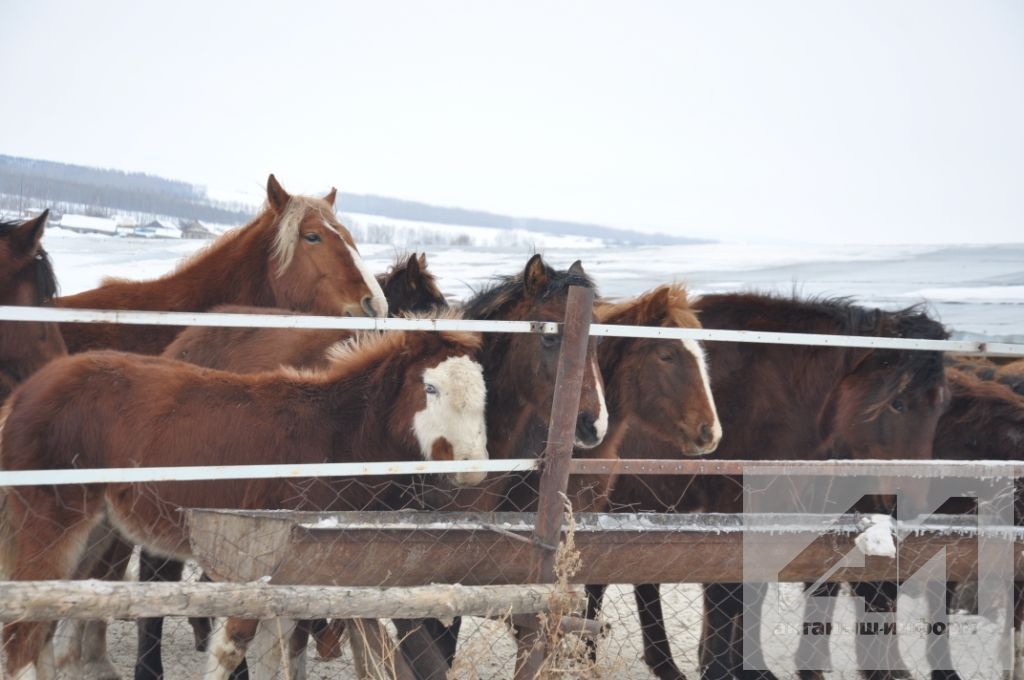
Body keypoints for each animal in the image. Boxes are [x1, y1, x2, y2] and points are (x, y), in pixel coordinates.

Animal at [0, 319, 487, 680]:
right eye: (430, 388)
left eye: (484, 394)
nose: (474, 467)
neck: (331, 439)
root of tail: (24, 394)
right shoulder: (257, 571)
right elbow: (232, 651)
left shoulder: (297, 576)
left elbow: (282, 658)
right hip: (51, 524)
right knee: (22, 636)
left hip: (96, 532)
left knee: (45, 632)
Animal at [585, 292, 950, 680]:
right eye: (897, 403)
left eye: (941, 407)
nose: (910, 505)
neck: (768, 393)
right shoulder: (733, 507)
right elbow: (726, 593)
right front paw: (718, 668)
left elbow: (754, 589)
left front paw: (747, 666)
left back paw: (662, 663)